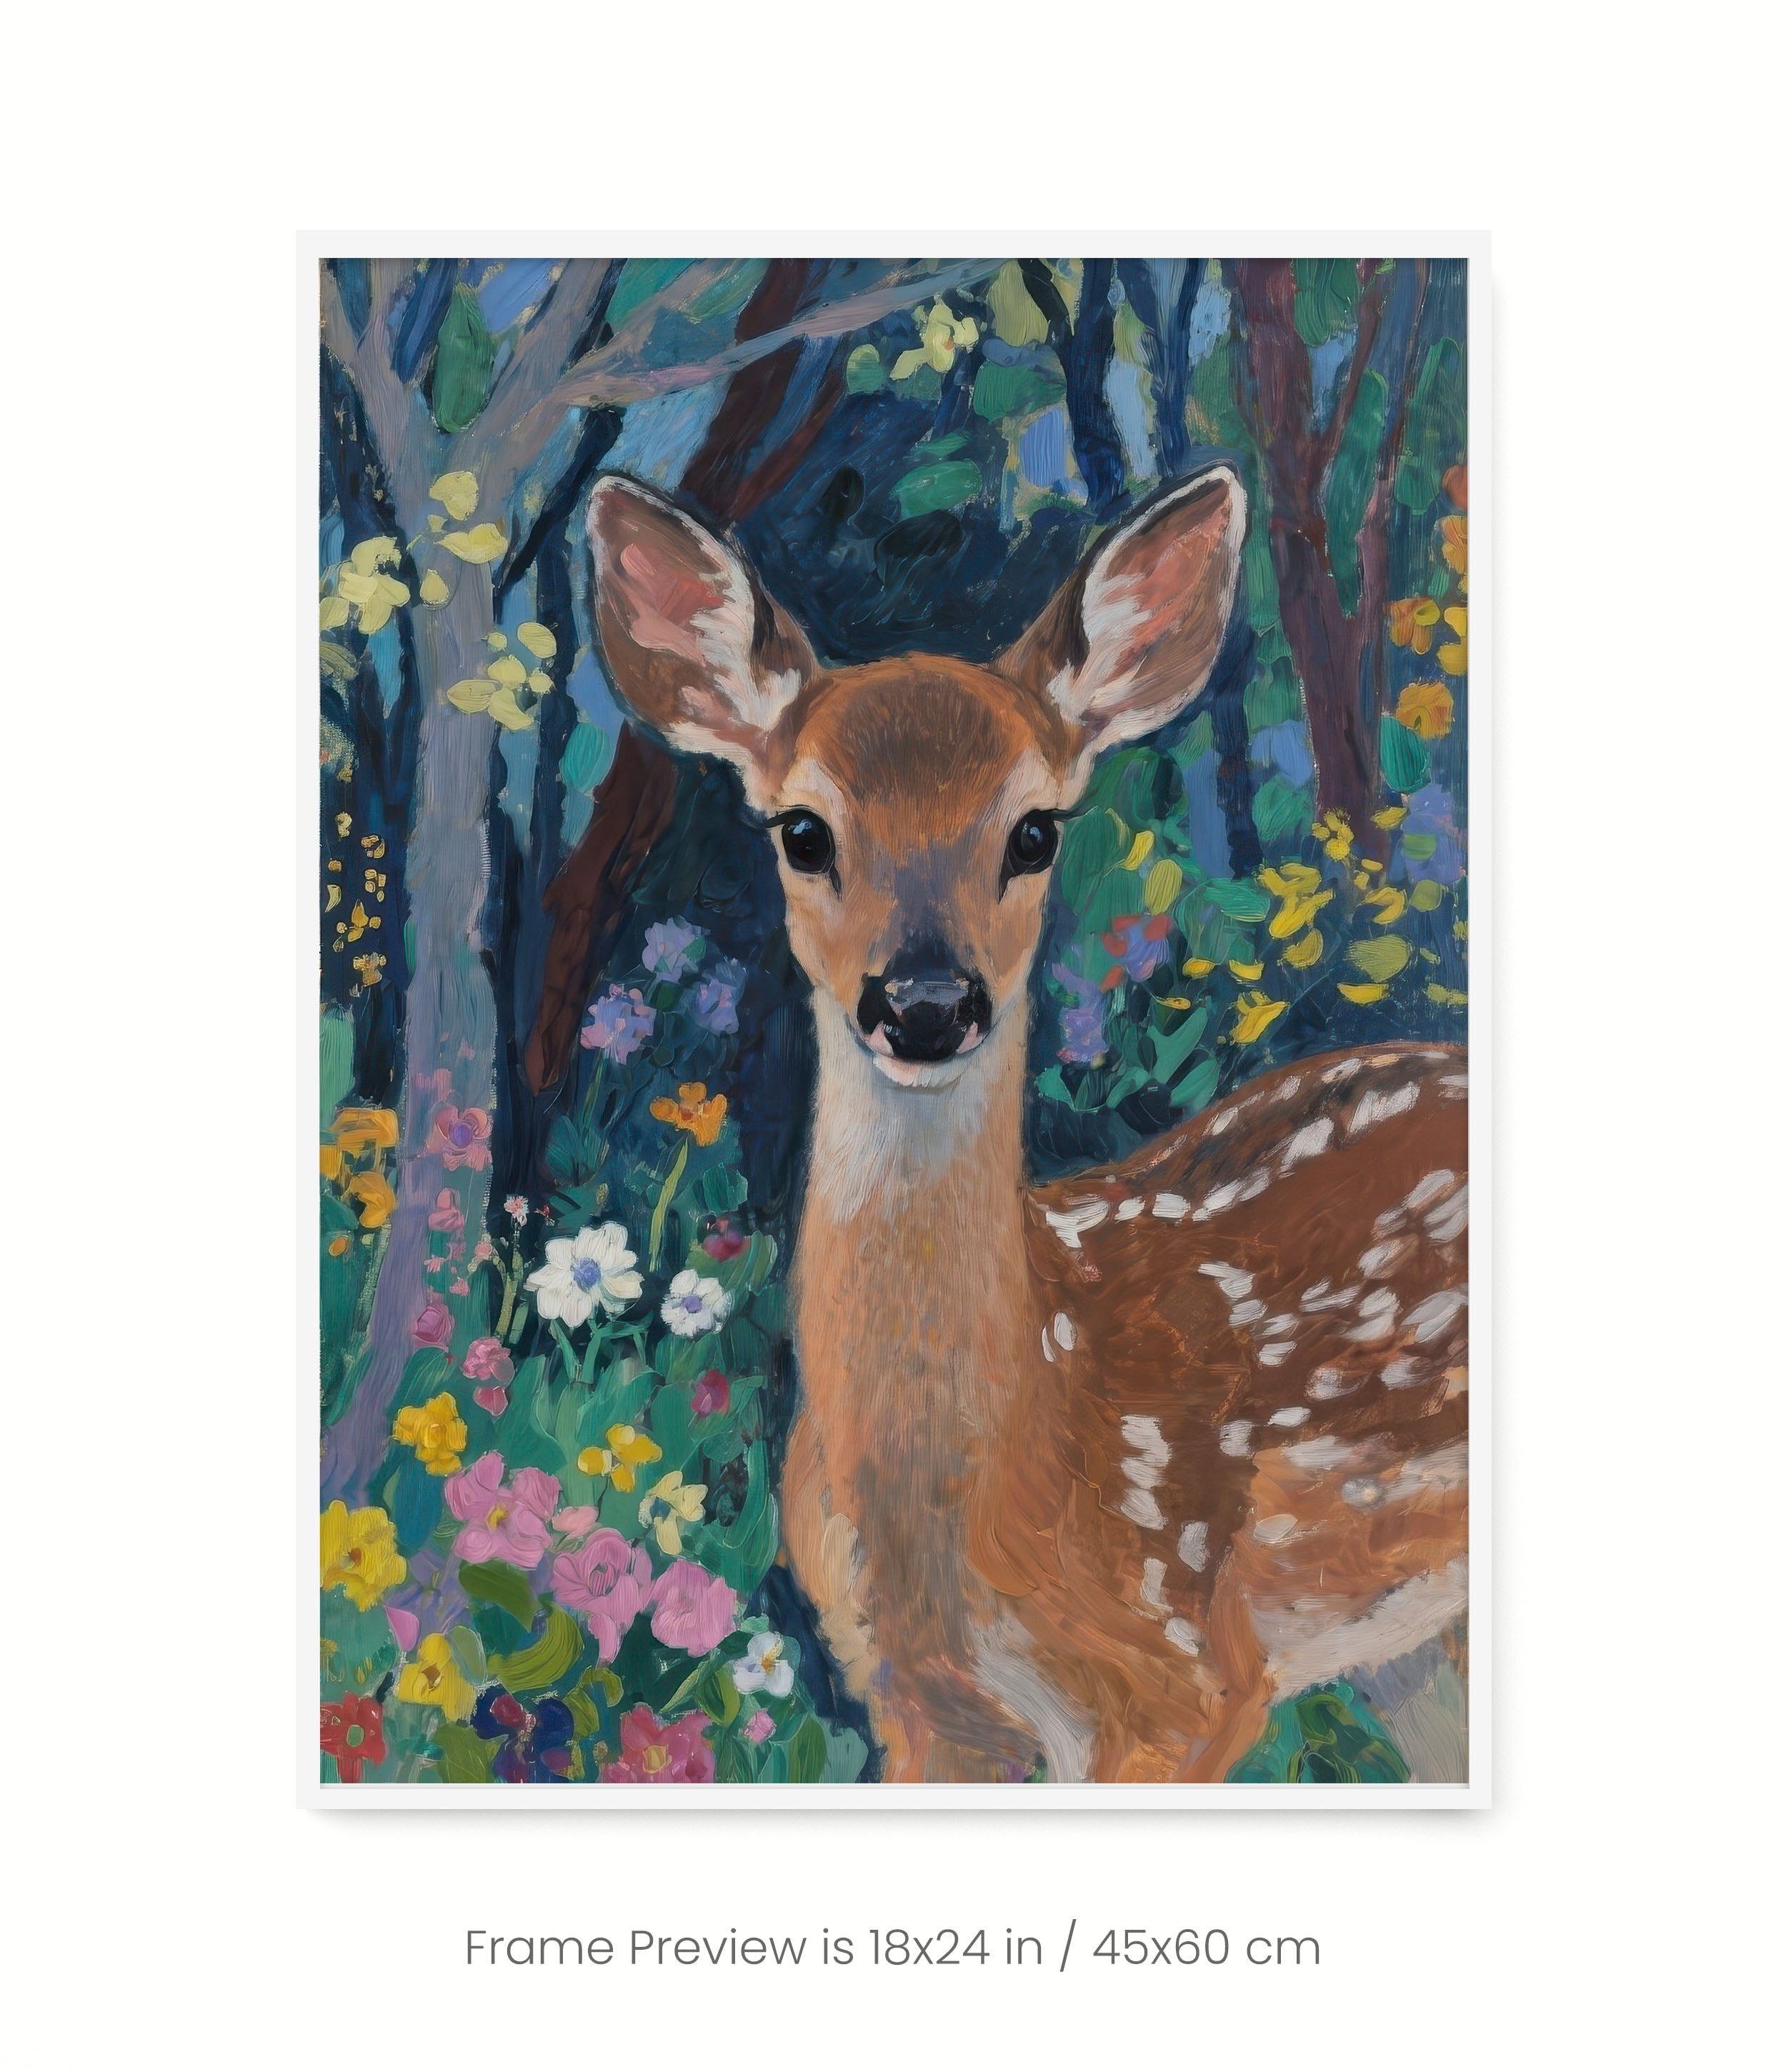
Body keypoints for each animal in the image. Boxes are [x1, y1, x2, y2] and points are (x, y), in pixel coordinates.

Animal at [580, 464, 1469, 1783]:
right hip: (1413, 1641)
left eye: (1035, 830)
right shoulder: (910, 1702)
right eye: (803, 831)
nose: (925, 1002)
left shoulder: (1189, 1680)